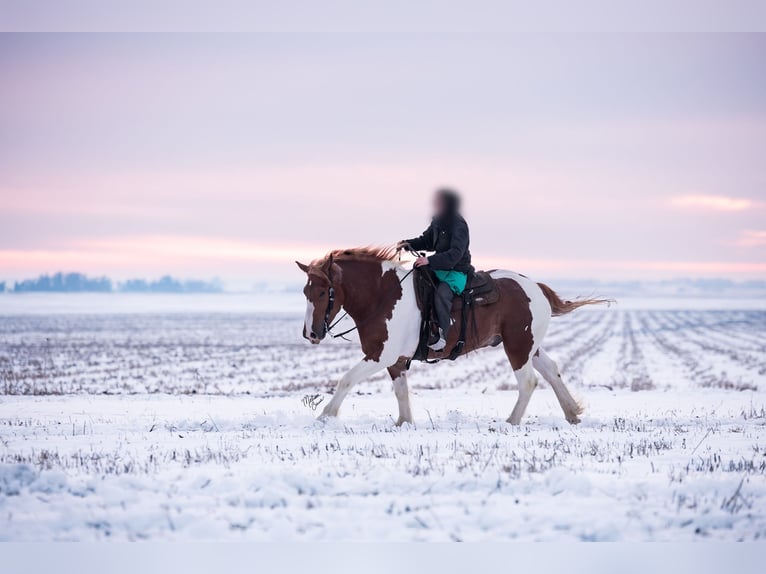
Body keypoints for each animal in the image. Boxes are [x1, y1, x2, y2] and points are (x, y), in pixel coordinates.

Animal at [296, 247, 608, 426]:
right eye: (305, 291)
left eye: (322, 292)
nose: (310, 333)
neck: (383, 295)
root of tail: (536, 287)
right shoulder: (395, 360)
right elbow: (401, 391)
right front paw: (404, 422)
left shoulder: (380, 355)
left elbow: (346, 379)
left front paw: (325, 416)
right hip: (530, 345)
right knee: (551, 371)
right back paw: (572, 413)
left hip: (517, 347)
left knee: (528, 381)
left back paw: (512, 421)